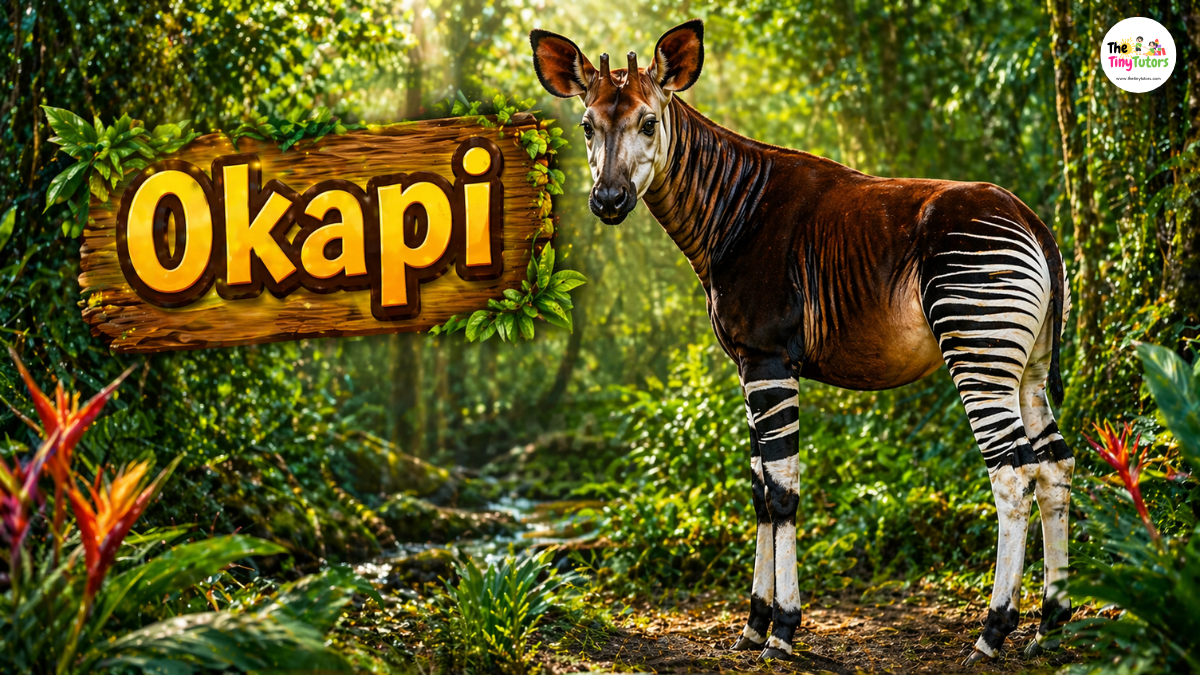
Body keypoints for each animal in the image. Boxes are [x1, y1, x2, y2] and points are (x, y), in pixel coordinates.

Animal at [531, 20, 1074, 664]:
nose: (609, 200)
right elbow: (761, 491)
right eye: (587, 126)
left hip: (978, 352)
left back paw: (992, 633)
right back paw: (1050, 625)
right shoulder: (748, 366)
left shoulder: (769, 360)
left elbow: (784, 493)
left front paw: (784, 631)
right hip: (1028, 366)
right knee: (1054, 466)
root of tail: (1033, 221)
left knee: (1012, 477)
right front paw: (751, 625)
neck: (730, 213)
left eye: (648, 124)